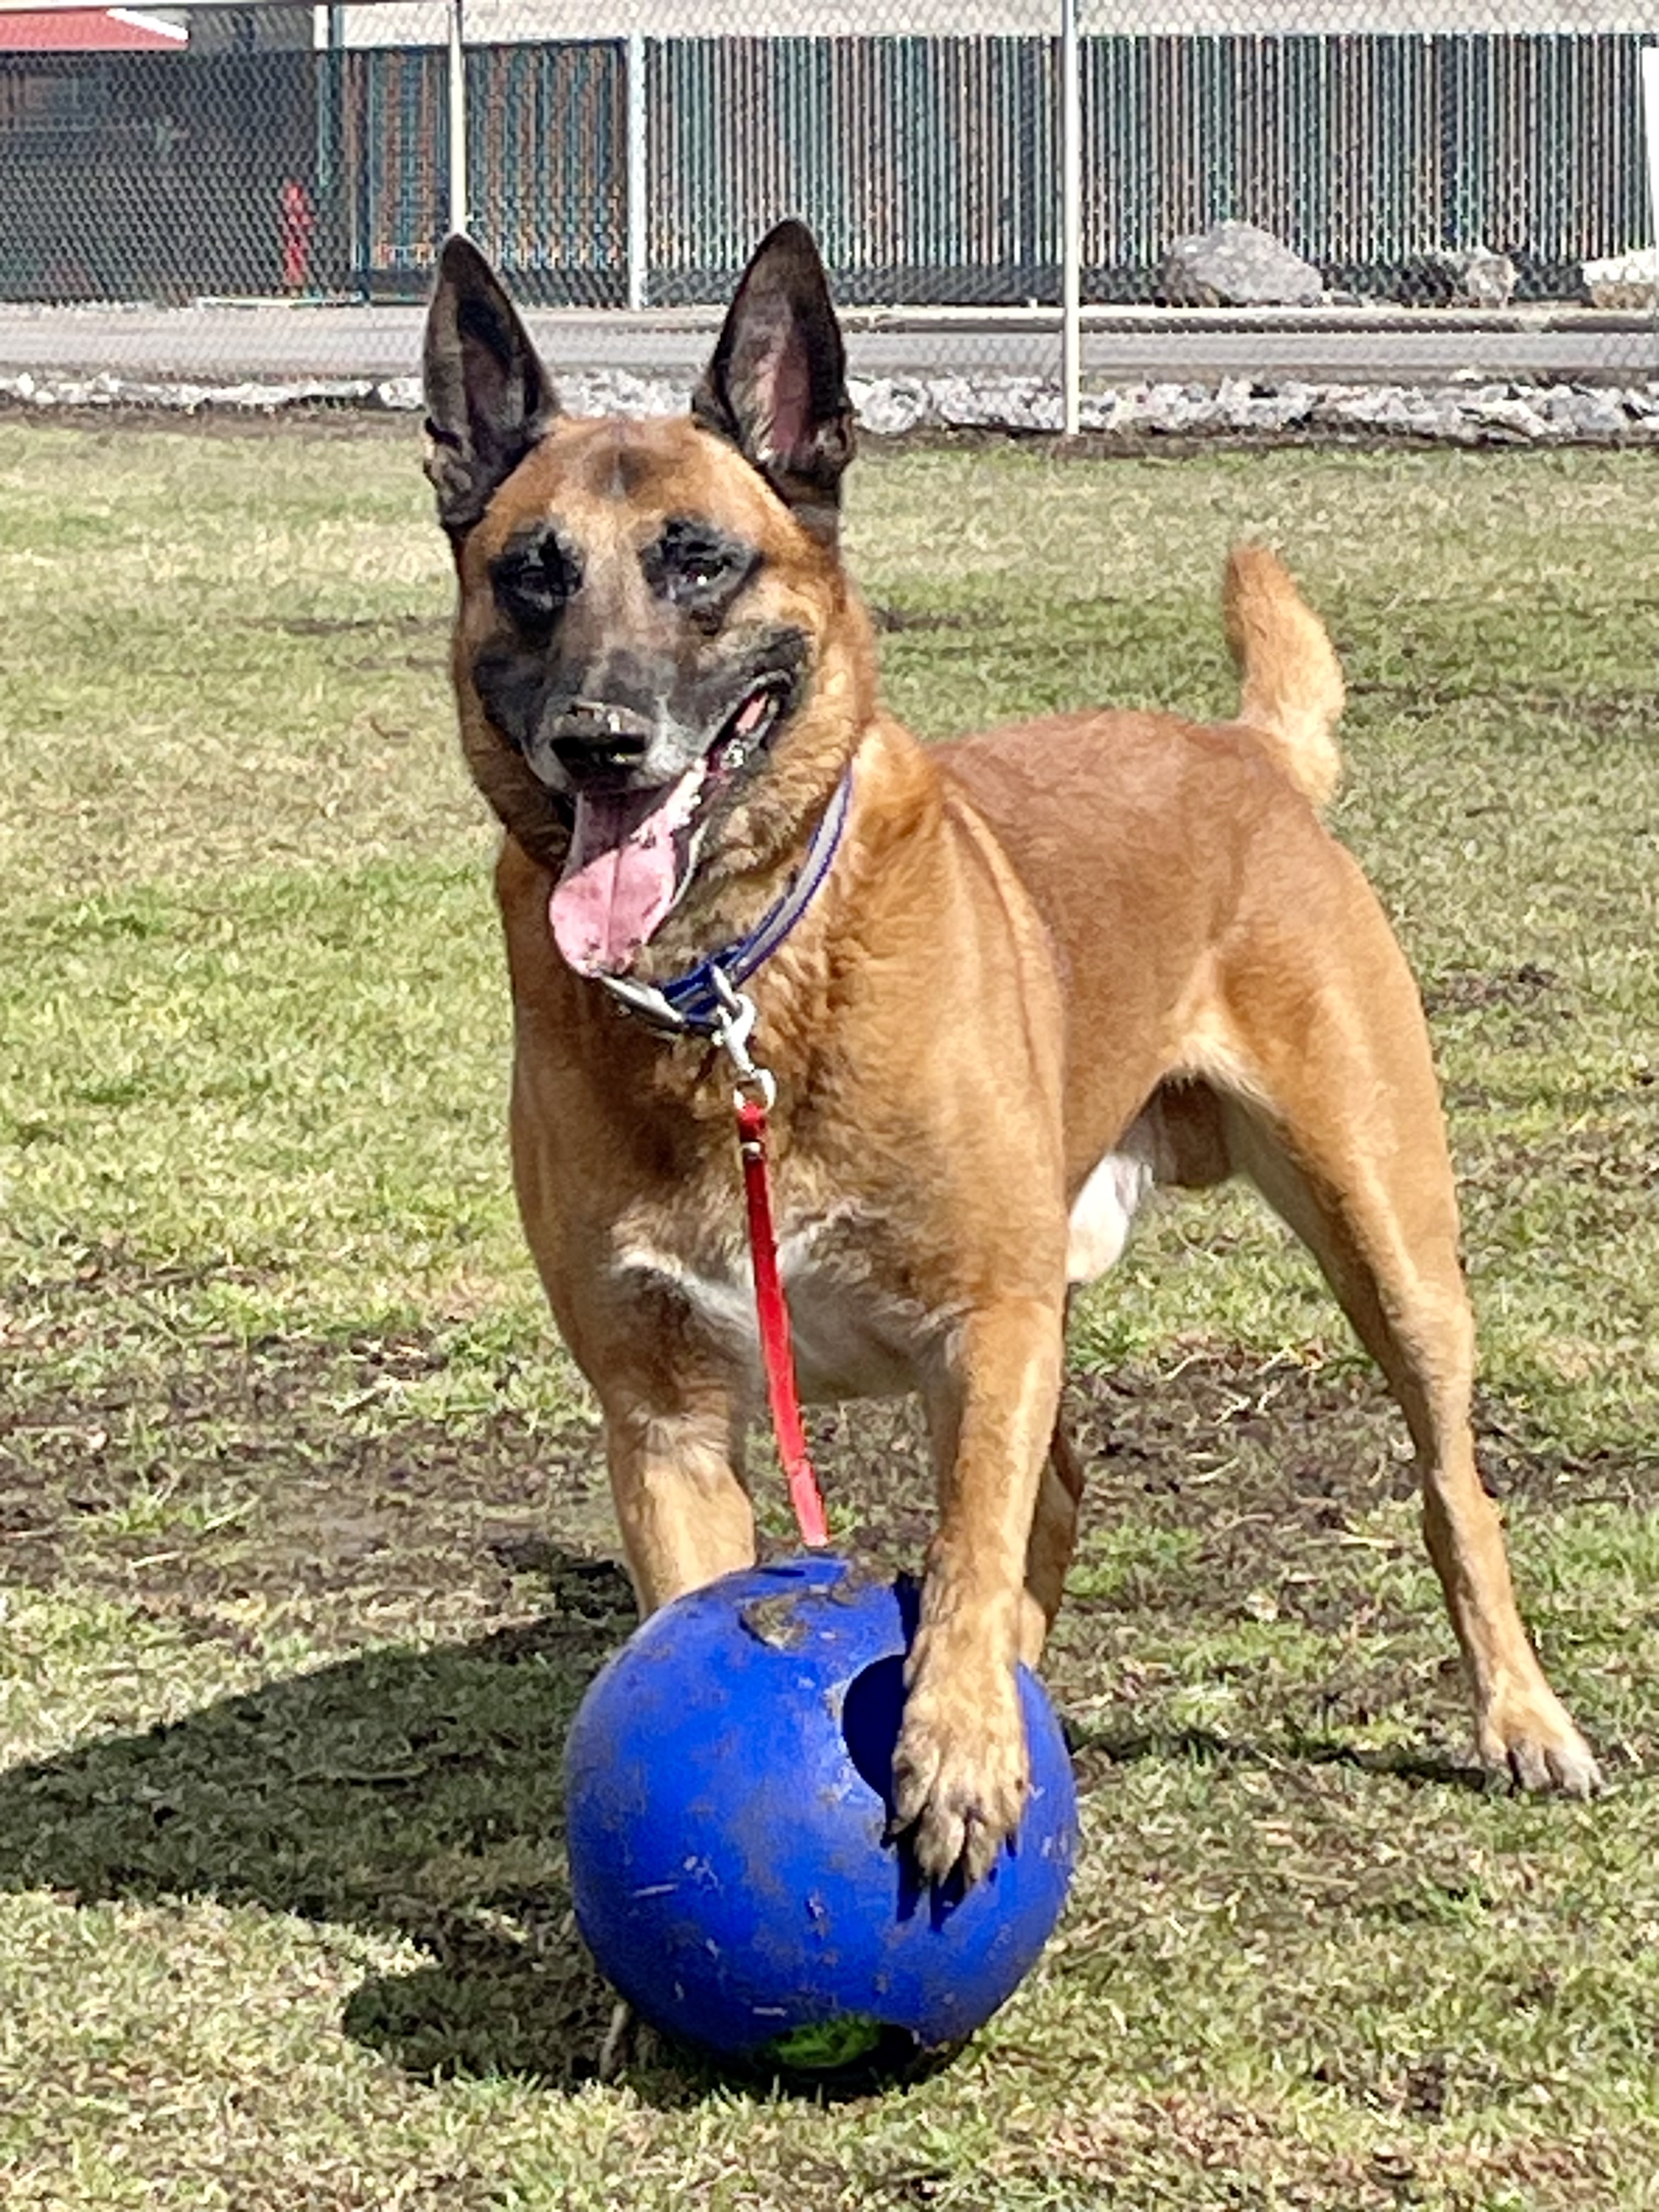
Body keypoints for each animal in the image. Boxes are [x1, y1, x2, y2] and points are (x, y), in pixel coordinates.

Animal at [421, 220, 1599, 1886]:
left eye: (700, 562)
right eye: (532, 575)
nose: (601, 741)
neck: (734, 993)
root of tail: (1246, 752)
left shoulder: (986, 1328)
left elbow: (968, 1551)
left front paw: (962, 1748)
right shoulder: (666, 1417)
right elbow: (728, 1602)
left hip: (1390, 1245)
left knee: (1451, 1491)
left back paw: (1520, 1718)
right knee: (1063, 1491)